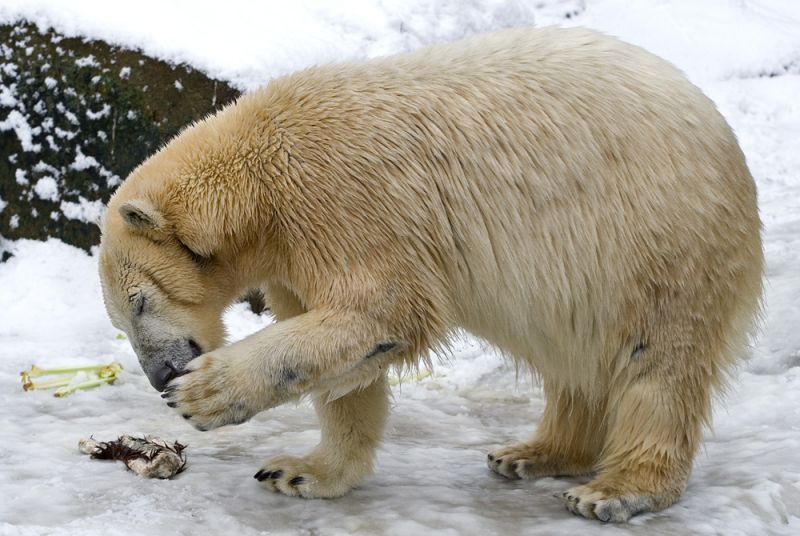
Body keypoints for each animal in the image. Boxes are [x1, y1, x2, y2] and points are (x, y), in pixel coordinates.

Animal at [98, 27, 764, 520]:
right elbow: (347, 359)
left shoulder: (341, 195)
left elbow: (386, 306)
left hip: (651, 235)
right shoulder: (293, 253)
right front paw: (301, 472)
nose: (161, 376)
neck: (258, 174)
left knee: (656, 360)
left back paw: (617, 489)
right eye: (120, 320)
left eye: (140, 301)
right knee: (572, 357)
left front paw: (203, 395)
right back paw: (532, 453)